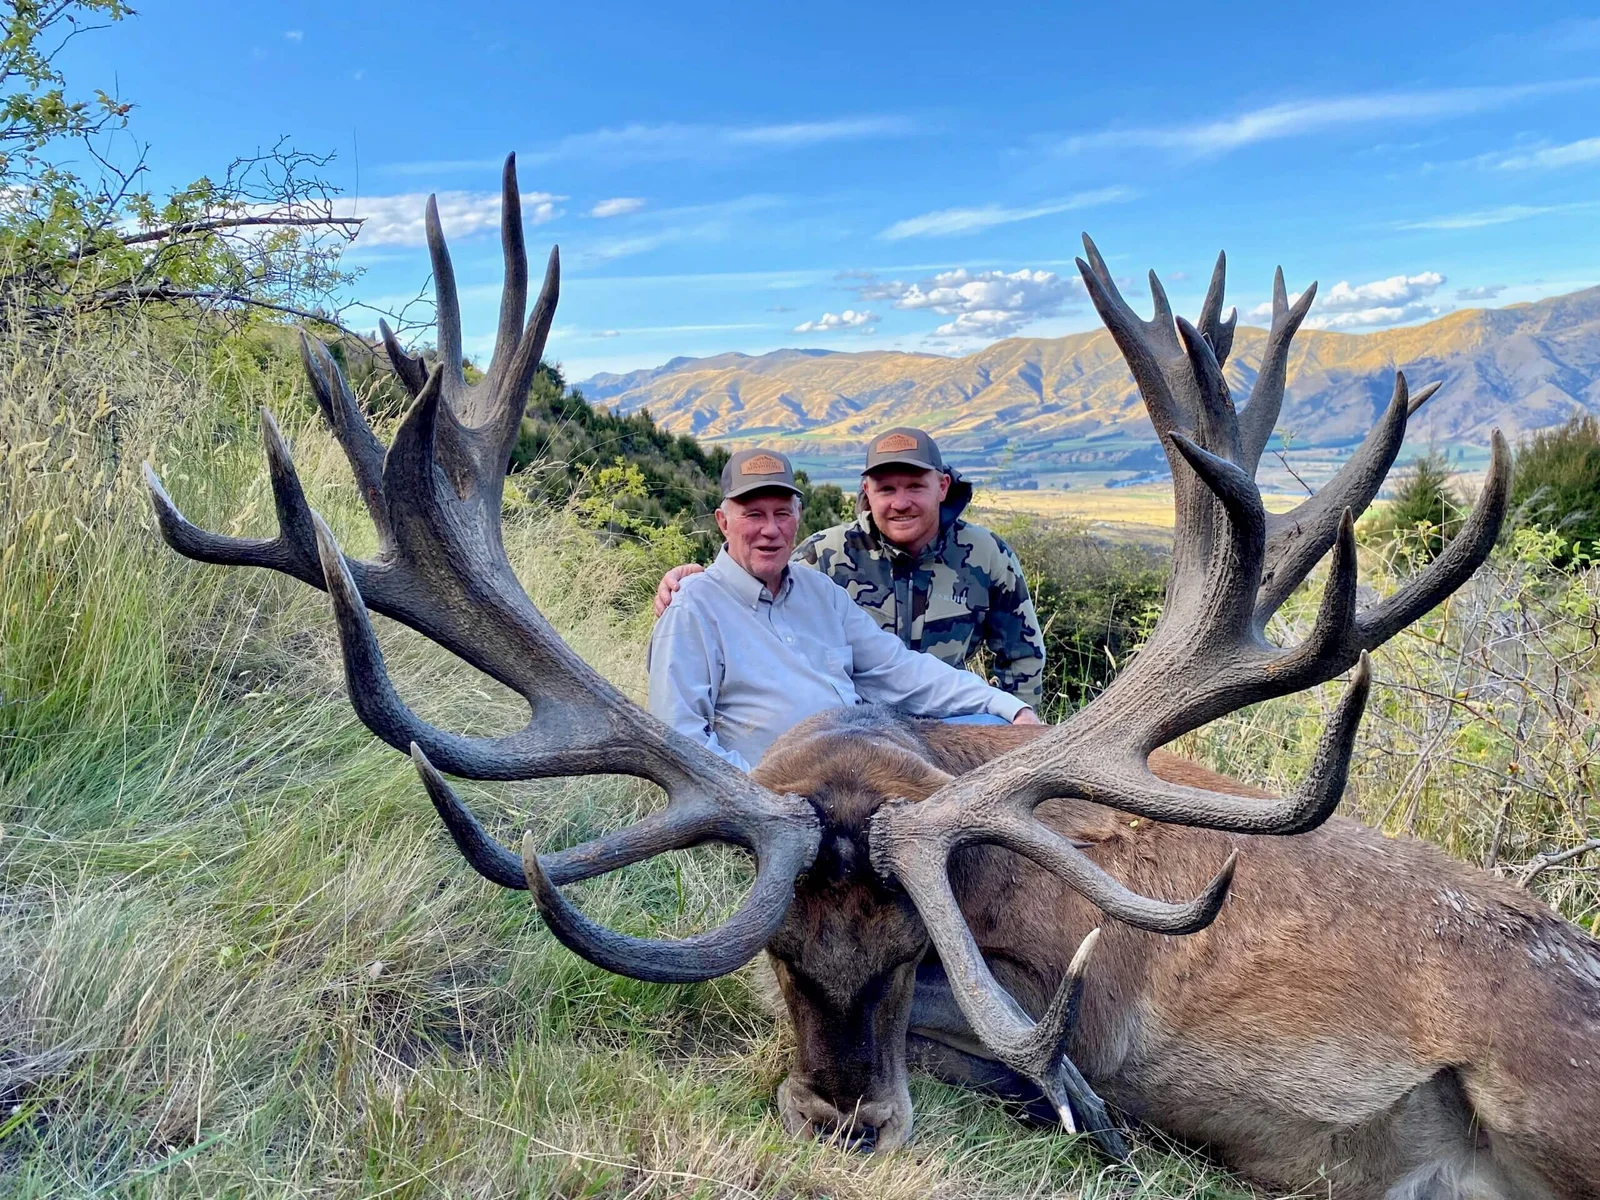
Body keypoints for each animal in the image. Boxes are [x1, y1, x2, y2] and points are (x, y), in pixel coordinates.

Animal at [145, 154, 1600, 1200]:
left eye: (912, 957)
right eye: (782, 953)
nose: (845, 1120)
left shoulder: (1055, 998)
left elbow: (1039, 1060)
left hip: (1548, 1088)